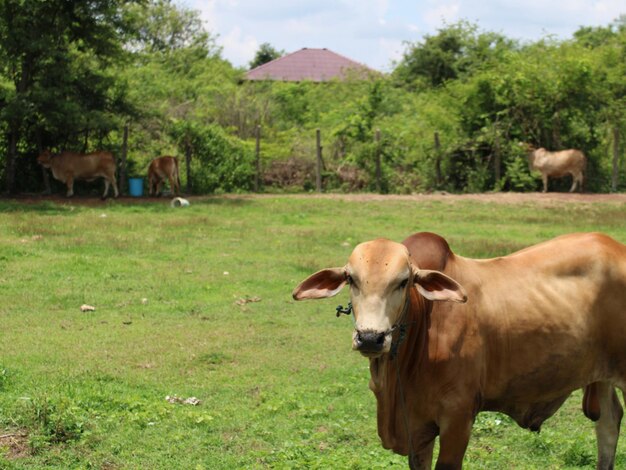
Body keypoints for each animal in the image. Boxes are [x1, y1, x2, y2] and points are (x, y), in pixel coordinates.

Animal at [294, 232, 624, 470]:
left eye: (403, 281)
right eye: (351, 278)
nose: (370, 338)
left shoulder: (458, 416)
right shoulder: (417, 430)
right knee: (609, 422)